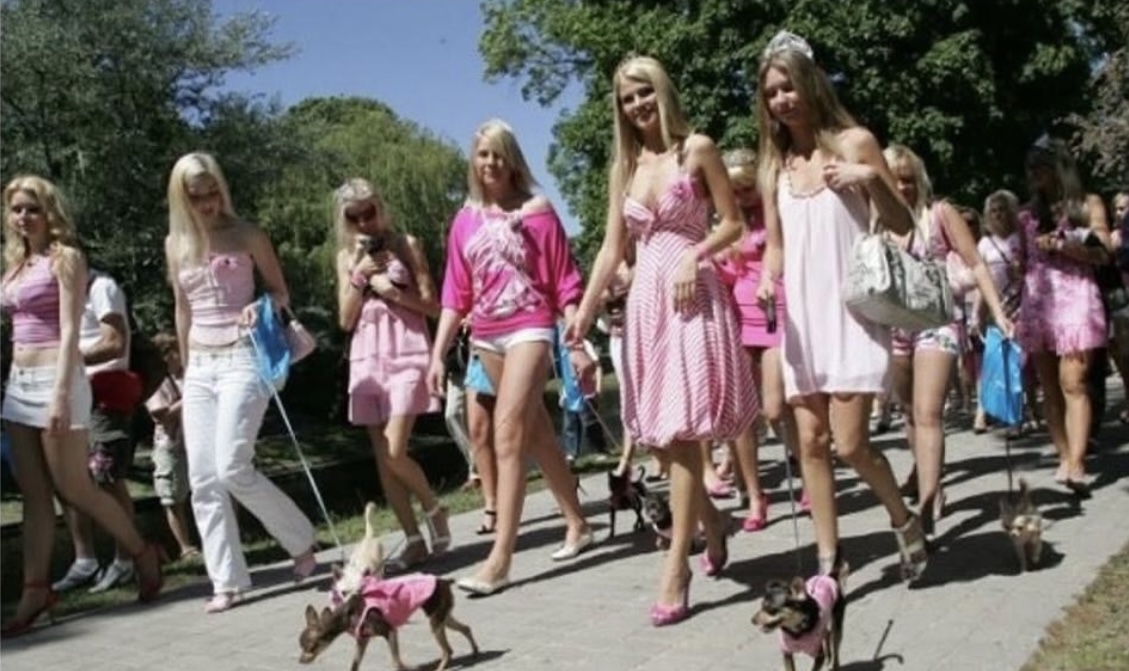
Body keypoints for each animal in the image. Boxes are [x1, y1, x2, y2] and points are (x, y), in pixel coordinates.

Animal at [299, 563, 479, 671]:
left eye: (311, 647)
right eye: (302, 647)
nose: (300, 660)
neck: (348, 614)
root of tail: (444, 581)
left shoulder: (390, 631)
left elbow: (396, 662)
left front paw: (408, 668)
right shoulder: (362, 641)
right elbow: (354, 665)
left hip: (435, 623)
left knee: (448, 651)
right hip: (442, 617)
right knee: (465, 628)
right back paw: (475, 651)